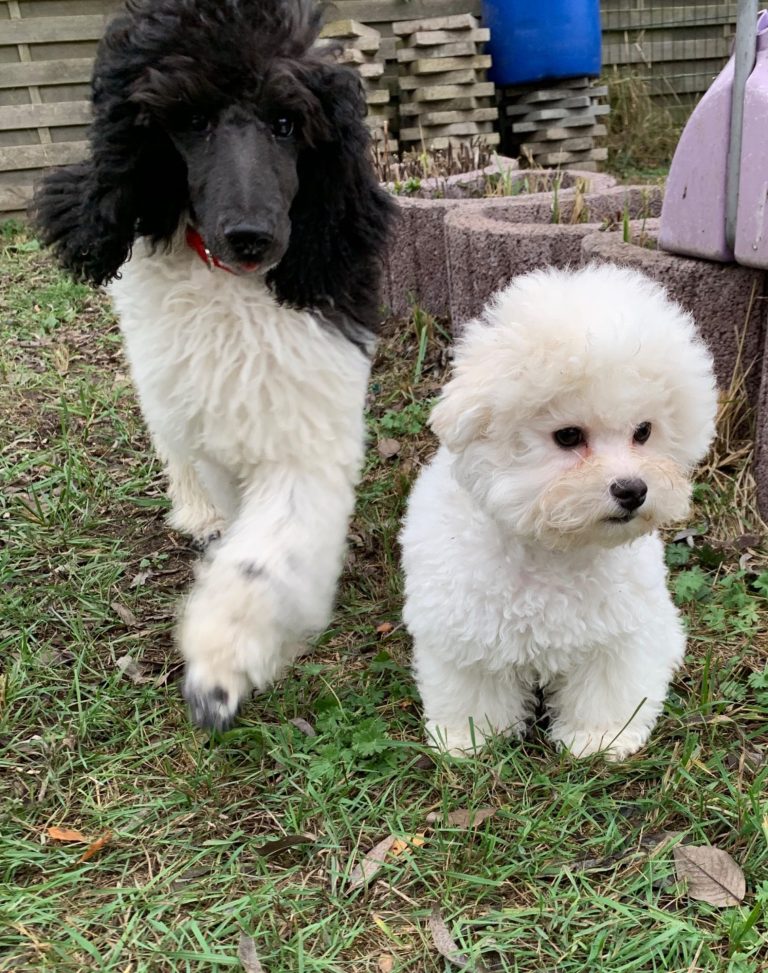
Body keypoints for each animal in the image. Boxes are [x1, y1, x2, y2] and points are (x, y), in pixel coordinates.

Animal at [400, 262, 716, 756]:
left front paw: (599, 738)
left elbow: (606, 685)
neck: (552, 550)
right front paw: (467, 739)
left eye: (644, 431)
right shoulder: (463, 626)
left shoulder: (618, 634)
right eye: (567, 436)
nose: (633, 490)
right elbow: (472, 685)